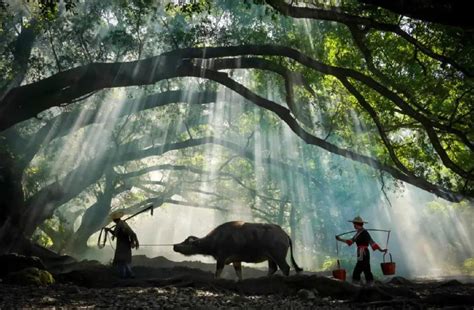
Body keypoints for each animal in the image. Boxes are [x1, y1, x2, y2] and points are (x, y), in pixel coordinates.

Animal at [172, 220, 302, 280]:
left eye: (187, 242)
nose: (175, 245)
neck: (217, 239)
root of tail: (284, 234)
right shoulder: (236, 260)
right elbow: (239, 273)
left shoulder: (221, 258)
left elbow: (217, 273)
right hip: (270, 257)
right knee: (273, 268)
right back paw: (266, 278)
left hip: (278, 255)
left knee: (285, 268)